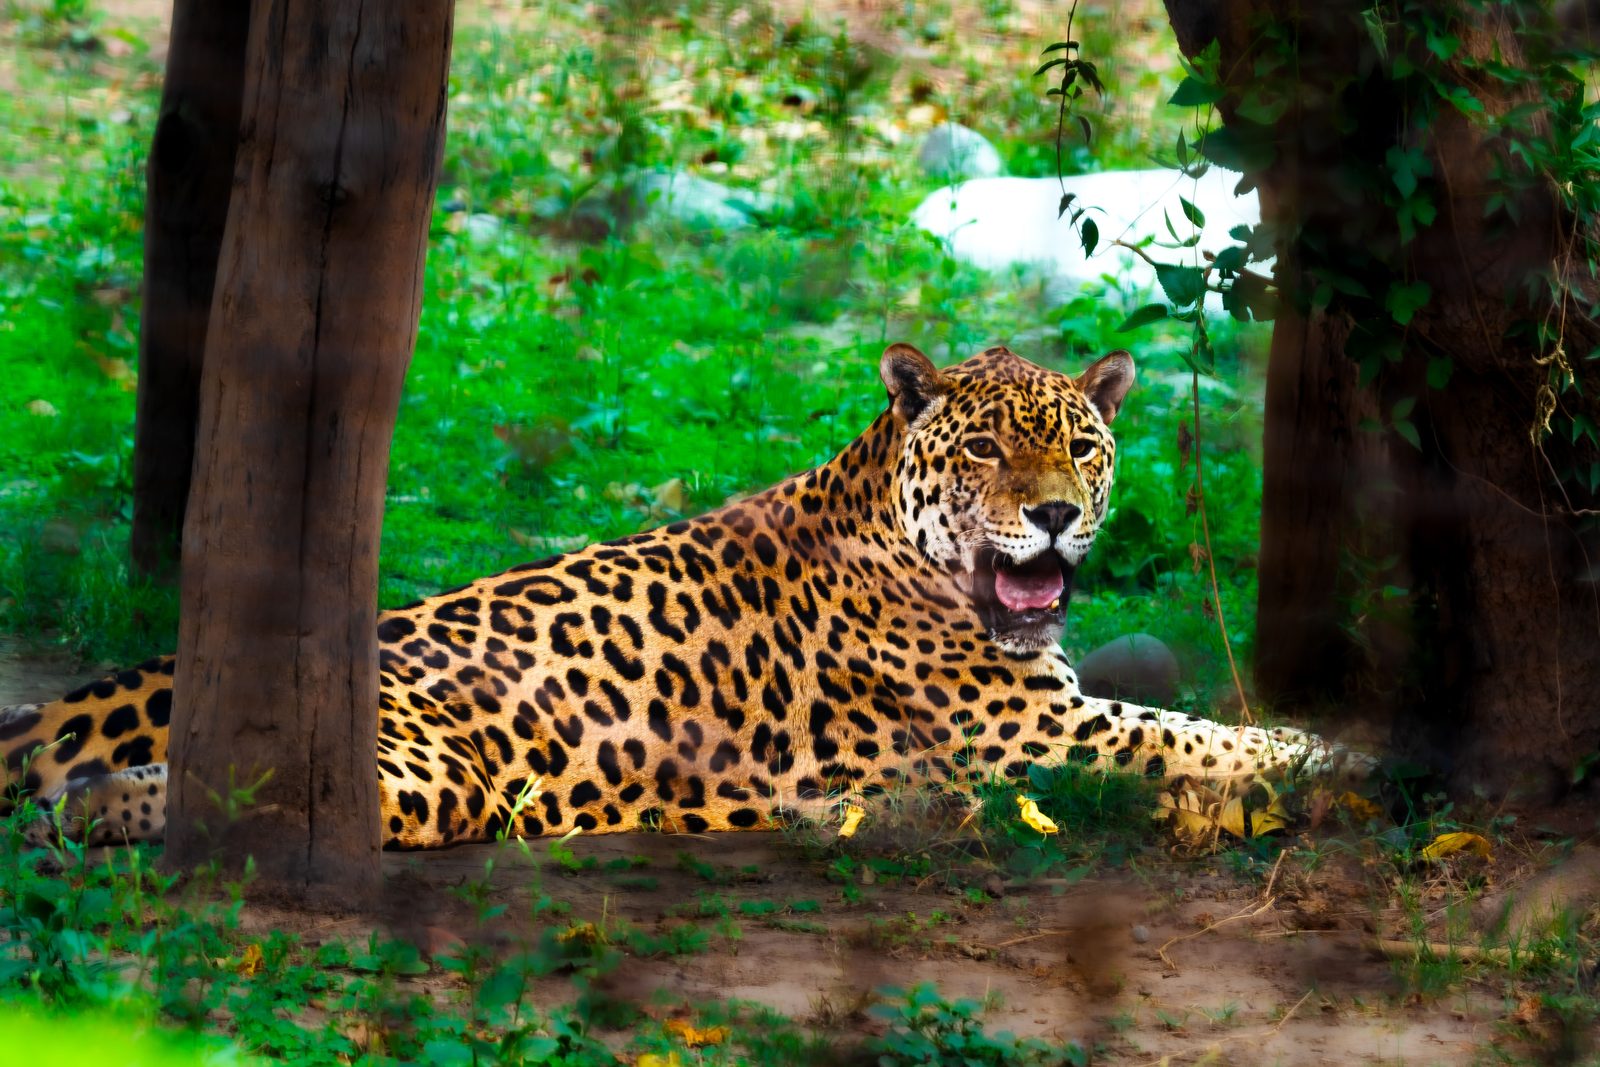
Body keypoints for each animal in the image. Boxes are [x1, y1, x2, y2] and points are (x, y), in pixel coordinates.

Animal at [0, 344, 1354, 849]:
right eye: (984, 451)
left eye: (1078, 446)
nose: (1059, 515)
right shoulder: (1030, 733)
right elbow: (1195, 733)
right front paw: (1335, 754)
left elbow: (1189, 712)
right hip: (426, 768)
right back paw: (100, 805)